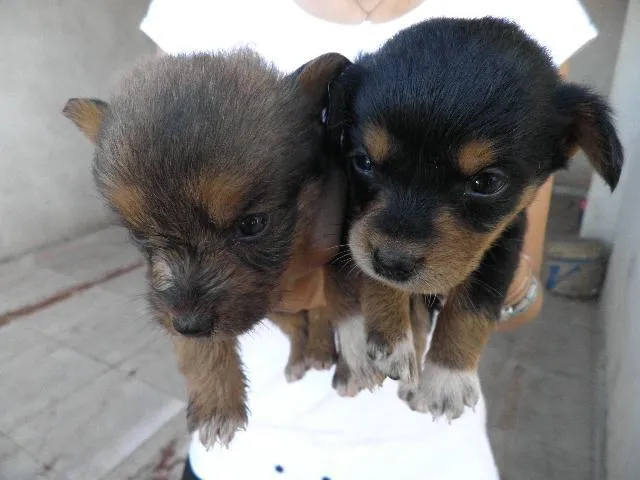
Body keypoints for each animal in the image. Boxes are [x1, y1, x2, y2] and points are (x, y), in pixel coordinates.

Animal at [64, 49, 350, 446]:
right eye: (139, 235)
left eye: (253, 224)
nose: (189, 324)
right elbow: (199, 347)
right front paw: (217, 405)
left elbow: (324, 304)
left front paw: (324, 344)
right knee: (294, 327)